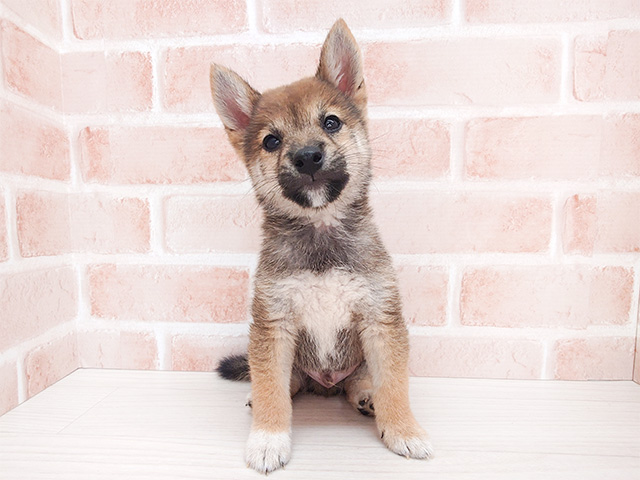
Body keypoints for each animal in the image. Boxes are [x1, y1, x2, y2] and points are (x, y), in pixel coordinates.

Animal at [212, 17, 432, 472]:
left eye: (331, 122)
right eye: (271, 141)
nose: (308, 156)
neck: (321, 233)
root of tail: (326, 386)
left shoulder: (380, 321)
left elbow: (395, 385)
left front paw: (403, 429)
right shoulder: (274, 325)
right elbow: (272, 390)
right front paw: (268, 438)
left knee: (362, 382)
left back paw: (367, 397)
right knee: (285, 382)